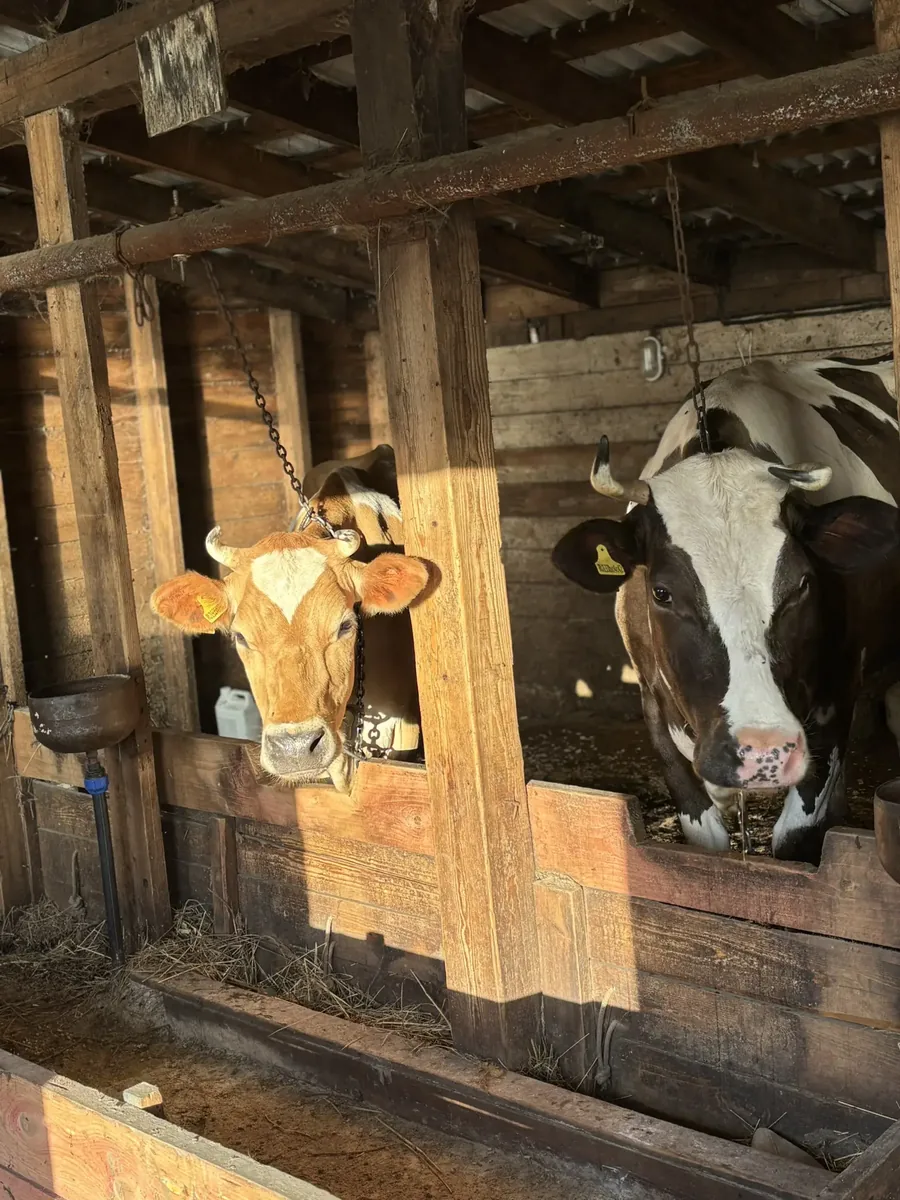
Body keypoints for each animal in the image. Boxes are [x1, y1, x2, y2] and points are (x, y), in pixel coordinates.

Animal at [551, 355, 900, 863]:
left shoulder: (837, 697)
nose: (763, 751)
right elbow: (706, 838)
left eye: (802, 584)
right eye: (662, 593)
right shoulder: (652, 700)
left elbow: (794, 837)